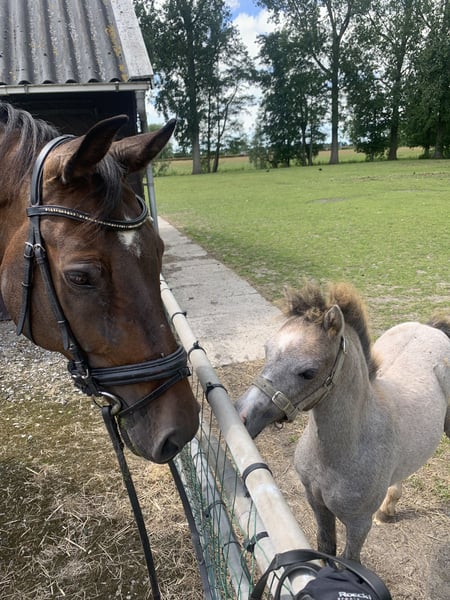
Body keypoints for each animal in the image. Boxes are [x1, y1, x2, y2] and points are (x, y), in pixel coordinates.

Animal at [236, 280, 450, 563]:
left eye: (308, 372)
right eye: (266, 350)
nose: (241, 414)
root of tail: (431, 328)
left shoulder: (359, 524)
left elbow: (348, 561)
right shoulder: (317, 504)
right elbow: (325, 548)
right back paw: (387, 509)